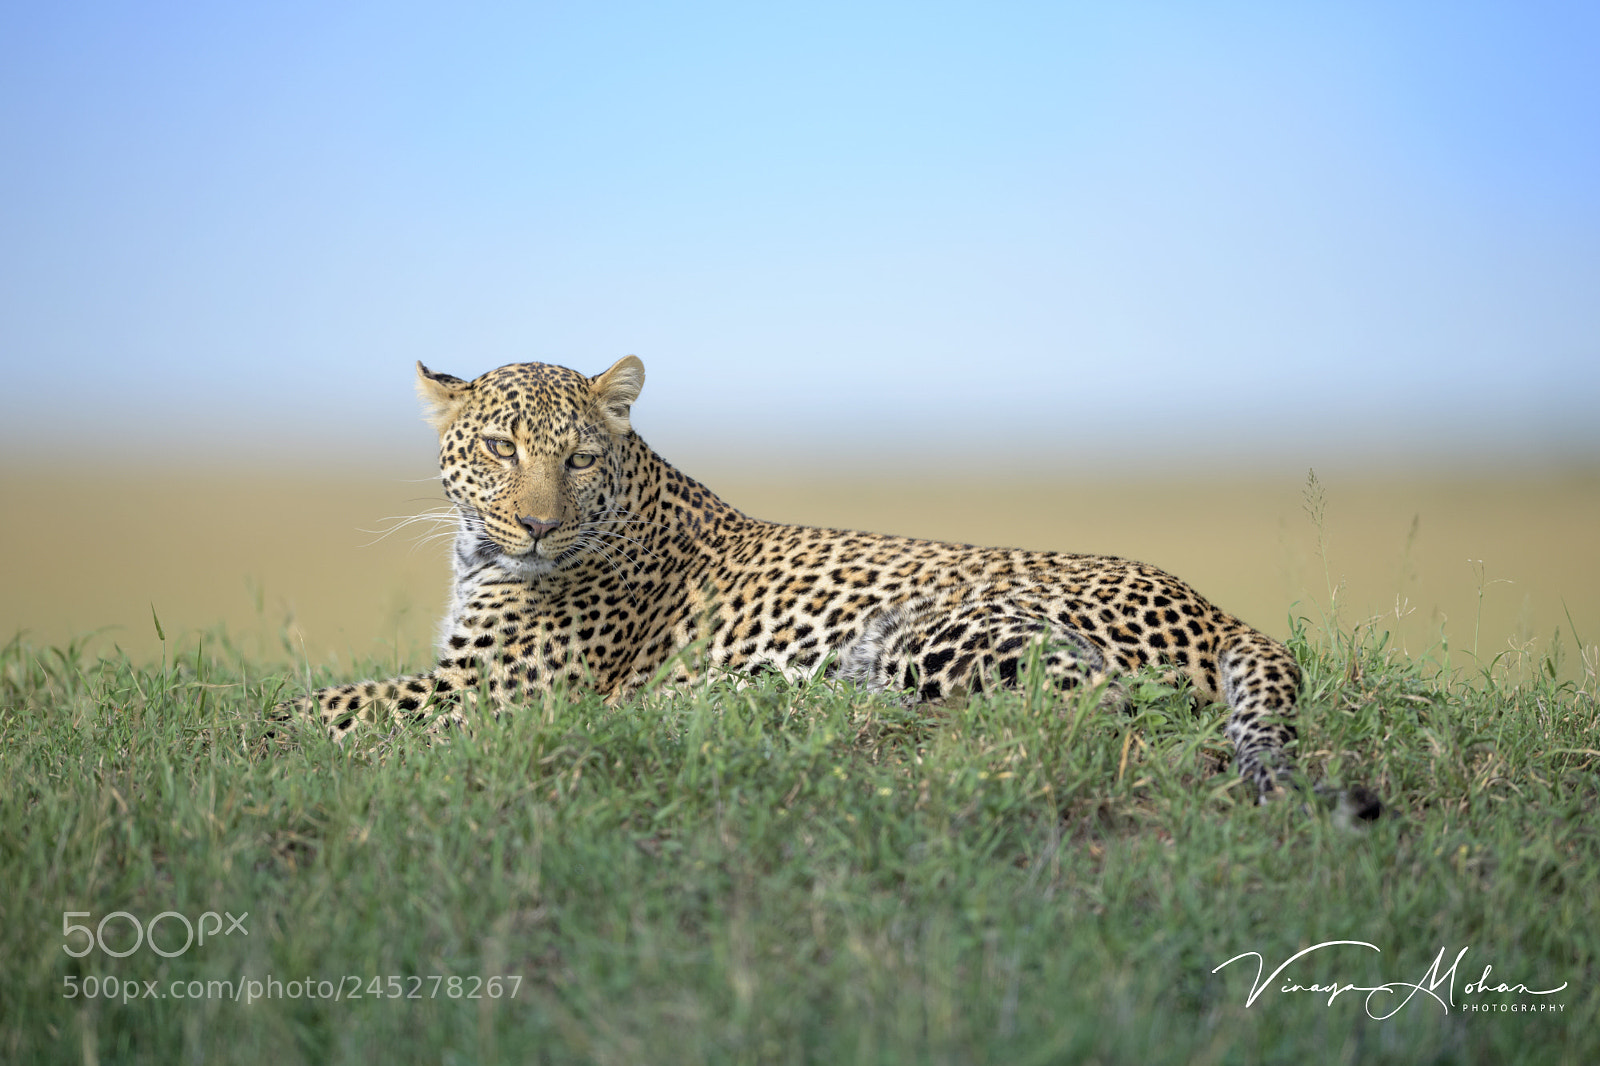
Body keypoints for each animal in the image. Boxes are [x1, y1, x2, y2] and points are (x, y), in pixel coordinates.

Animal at [276, 355, 1375, 812]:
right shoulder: (469, 679)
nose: (539, 523)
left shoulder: (503, 692)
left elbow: (322, 704)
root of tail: (1215, 609)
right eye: (501, 449)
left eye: (579, 458)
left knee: (1069, 710)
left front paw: (268, 728)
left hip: (942, 631)